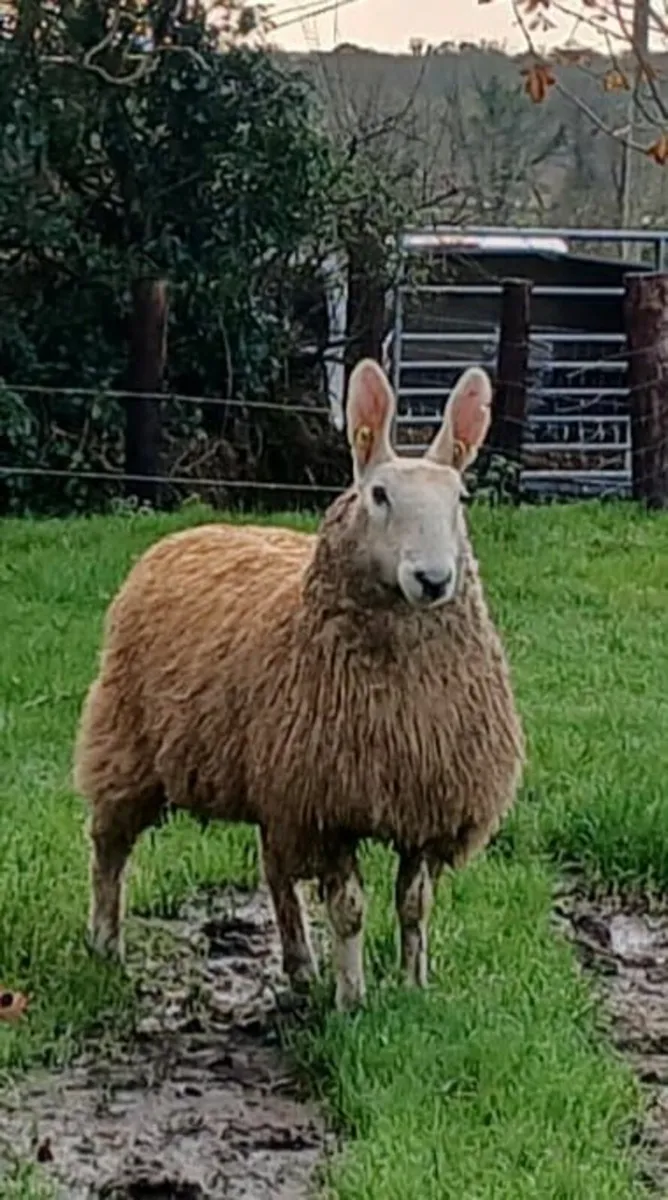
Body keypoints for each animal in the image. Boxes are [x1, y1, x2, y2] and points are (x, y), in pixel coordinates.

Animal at [74, 359, 525, 1012]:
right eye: (379, 494)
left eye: (460, 498)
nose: (434, 579)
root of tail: (194, 530)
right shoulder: (327, 806)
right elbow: (350, 910)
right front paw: (353, 1000)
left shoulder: (424, 802)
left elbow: (414, 906)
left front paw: (412, 986)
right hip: (125, 738)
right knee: (109, 843)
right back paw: (105, 943)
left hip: (272, 779)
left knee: (275, 870)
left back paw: (300, 967)